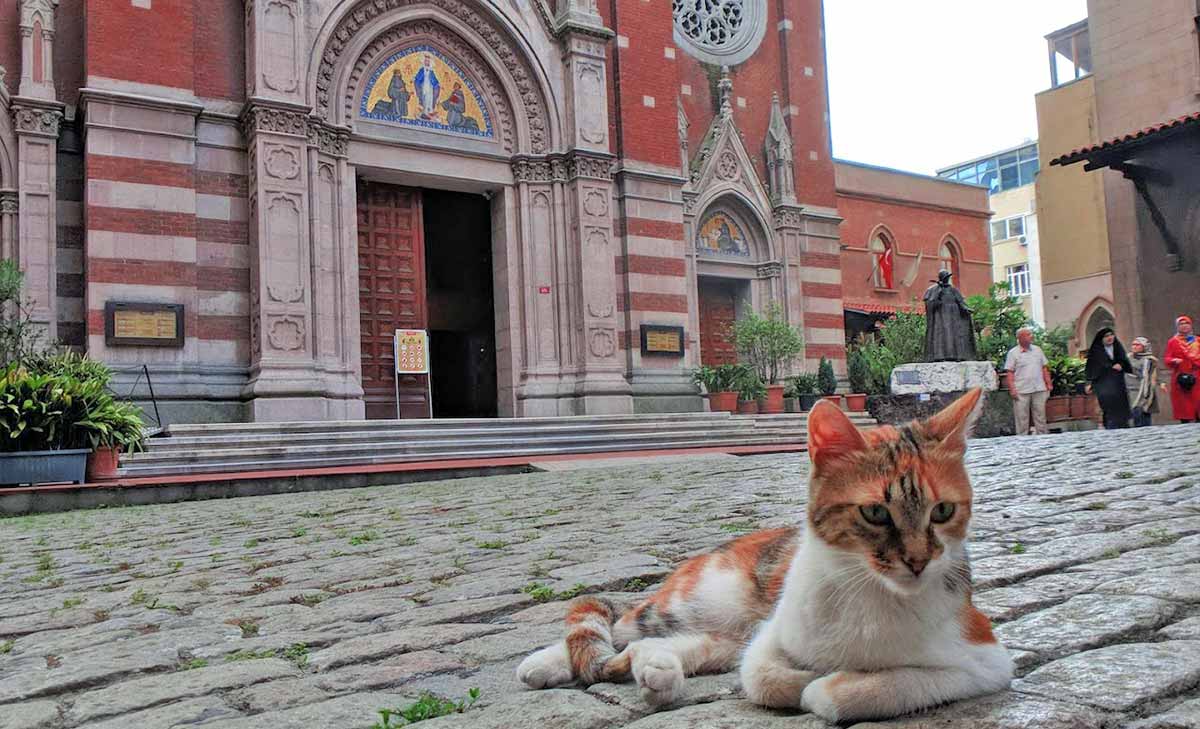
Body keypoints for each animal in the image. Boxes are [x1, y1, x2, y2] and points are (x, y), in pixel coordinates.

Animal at [516, 388, 1012, 724]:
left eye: (942, 510)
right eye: (875, 512)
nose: (918, 560)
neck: (870, 593)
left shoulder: (986, 660)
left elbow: (893, 683)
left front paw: (829, 684)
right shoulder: (771, 635)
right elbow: (762, 676)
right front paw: (805, 681)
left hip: (719, 632)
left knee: (660, 645)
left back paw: (656, 669)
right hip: (705, 598)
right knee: (623, 625)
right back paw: (544, 663)